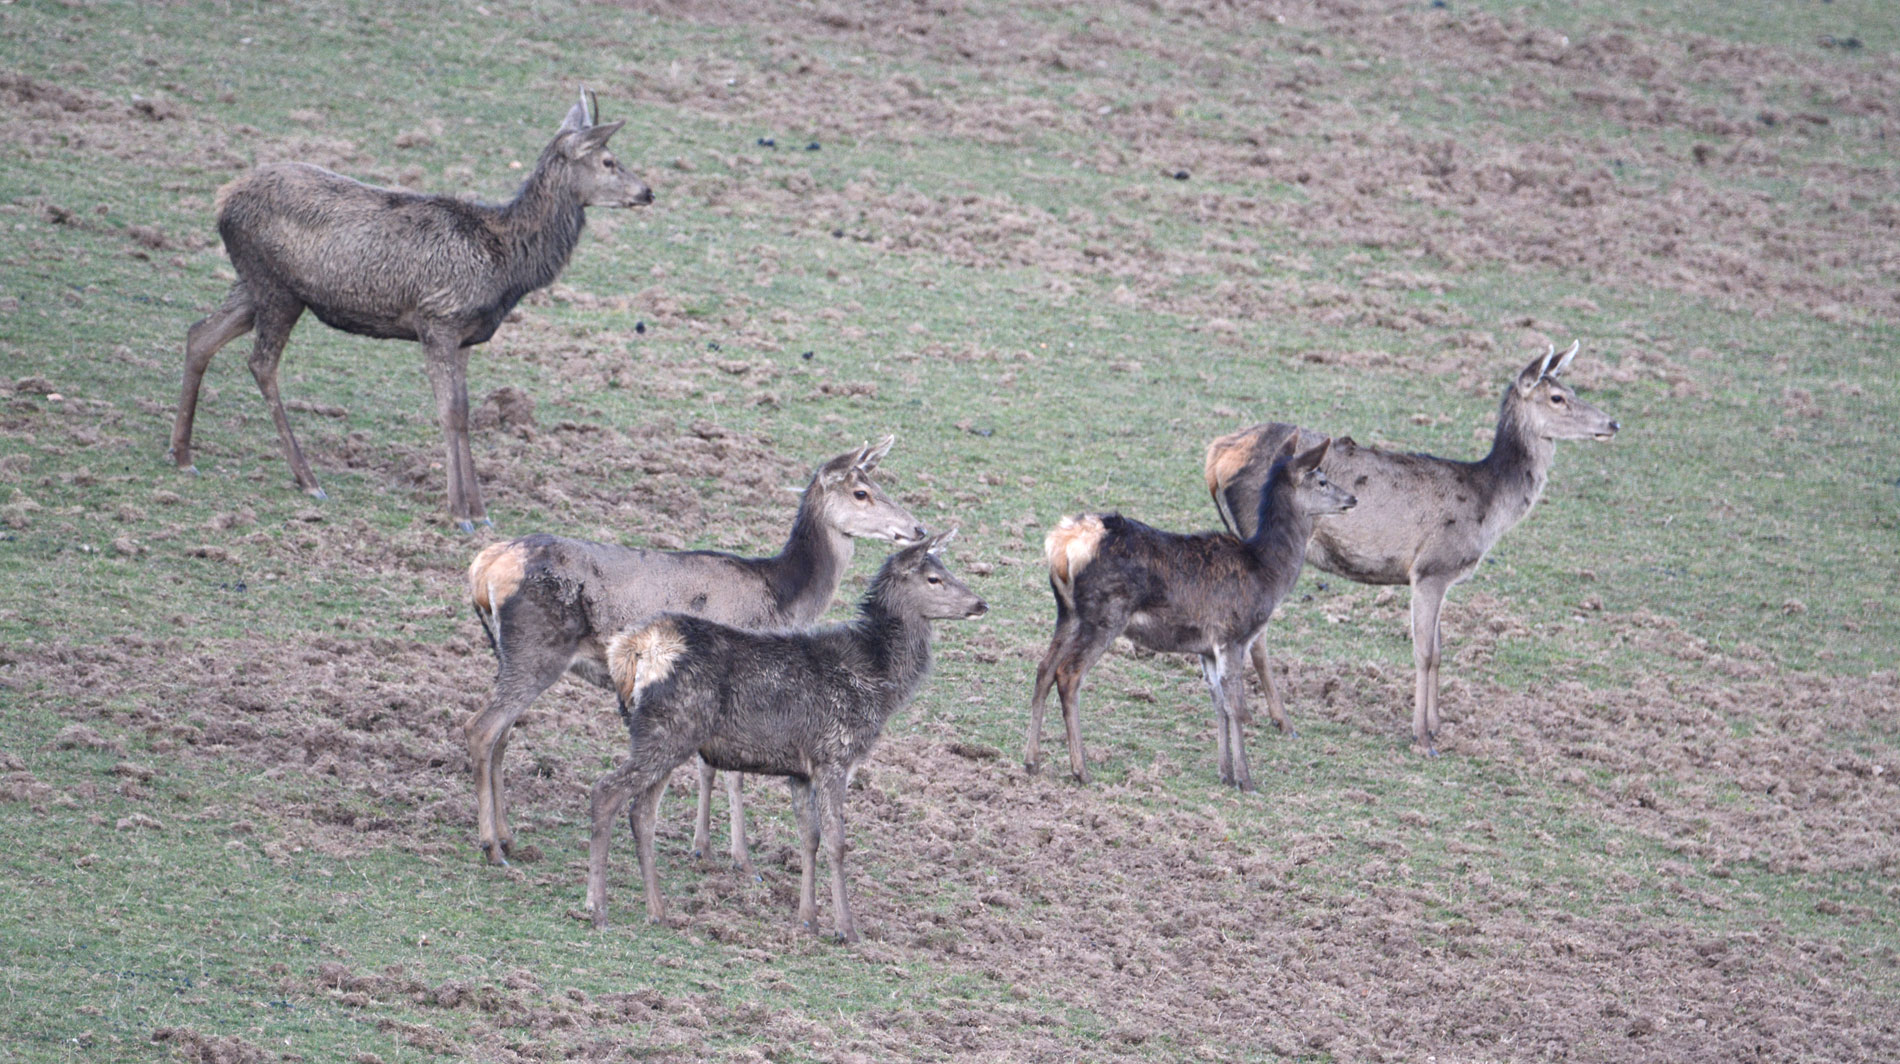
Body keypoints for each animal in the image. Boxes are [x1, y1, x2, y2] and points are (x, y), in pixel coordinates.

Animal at [167, 89, 653, 528]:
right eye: (608, 161)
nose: (647, 192)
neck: (506, 264)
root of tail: (223, 198)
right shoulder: (438, 319)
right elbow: (450, 411)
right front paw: (459, 513)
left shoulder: (466, 336)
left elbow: (465, 412)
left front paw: (481, 511)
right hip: (276, 286)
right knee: (260, 362)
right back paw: (307, 479)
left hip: (252, 283)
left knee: (200, 334)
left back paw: (183, 455)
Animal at [467, 438, 927, 866]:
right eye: (861, 493)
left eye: (878, 484)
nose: (918, 528)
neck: (783, 599)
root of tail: (484, 568)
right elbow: (730, 772)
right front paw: (739, 857)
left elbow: (708, 764)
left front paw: (703, 846)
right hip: (536, 648)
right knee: (482, 729)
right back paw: (491, 845)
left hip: (506, 652)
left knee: (502, 735)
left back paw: (508, 837)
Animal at [585, 528, 988, 938]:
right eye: (934, 578)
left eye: (946, 569)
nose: (980, 603)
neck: (879, 681)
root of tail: (630, 650)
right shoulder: (834, 754)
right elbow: (836, 841)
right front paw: (845, 928)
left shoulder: (801, 769)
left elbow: (808, 838)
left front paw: (808, 917)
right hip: (669, 730)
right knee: (606, 792)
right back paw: (597, 908)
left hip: (662, 734)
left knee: (642, 814)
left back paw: (657, 911)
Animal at [1026, 433, 1352, 790]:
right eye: (1322, 480)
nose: (1351, 498)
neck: (1267, 573)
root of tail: (1061, 543)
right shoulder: (1233, 635)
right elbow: (1236, 705)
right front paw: (1246, 780)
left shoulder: (1205, 648)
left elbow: (1219, 704)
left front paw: (1225, 773)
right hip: (1105, 613)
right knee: (1068, 674)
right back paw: (1081, 769)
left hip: (1068, 612)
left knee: (1043, 668)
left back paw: (1032, 761)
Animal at [1200, 338, 1618, 748]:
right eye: (1557, 398)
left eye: (1573, 389)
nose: (1613, 423)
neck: (1489, 507)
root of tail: (1217, 456)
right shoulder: (1432, 566)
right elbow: (1424, 652)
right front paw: (1421, 736)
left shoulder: (1443, 576)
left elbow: (1440, 651)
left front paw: (1437, 727)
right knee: (1258, 637)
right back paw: (1282, 720)